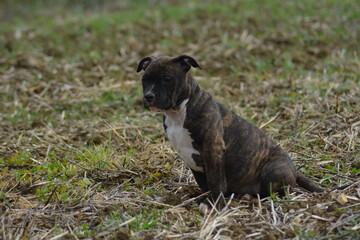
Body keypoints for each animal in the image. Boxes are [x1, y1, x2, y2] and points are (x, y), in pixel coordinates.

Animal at [136, 54, 324, 206]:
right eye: (144, 80)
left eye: (167, 78)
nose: (149, 96)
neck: (178, 112)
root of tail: (294, 170)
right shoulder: (190, 157)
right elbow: (203, 182)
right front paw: (205, 198)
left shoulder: (213, 149)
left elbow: (215, 181)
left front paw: (215, 204)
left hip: (273, 169)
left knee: (276, 192)